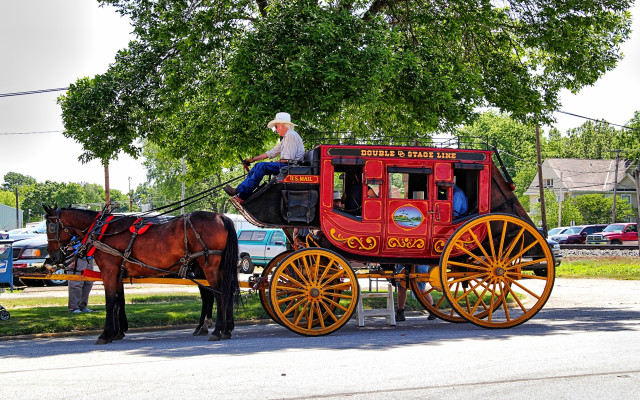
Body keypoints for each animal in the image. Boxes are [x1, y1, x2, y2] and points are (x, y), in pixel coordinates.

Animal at [43, 205, 239, 344]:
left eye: (50, 227)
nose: (53, 256)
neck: (102, 231)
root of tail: (220, 216)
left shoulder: (109, 270)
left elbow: (110, 303)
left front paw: (105, 334)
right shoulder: (118, 272)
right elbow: (119, 301)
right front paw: (118, 331)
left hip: (209, 265)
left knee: (219, 294)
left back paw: (218, 331)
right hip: (214, 267)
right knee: (220, 294)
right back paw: (222, 329)